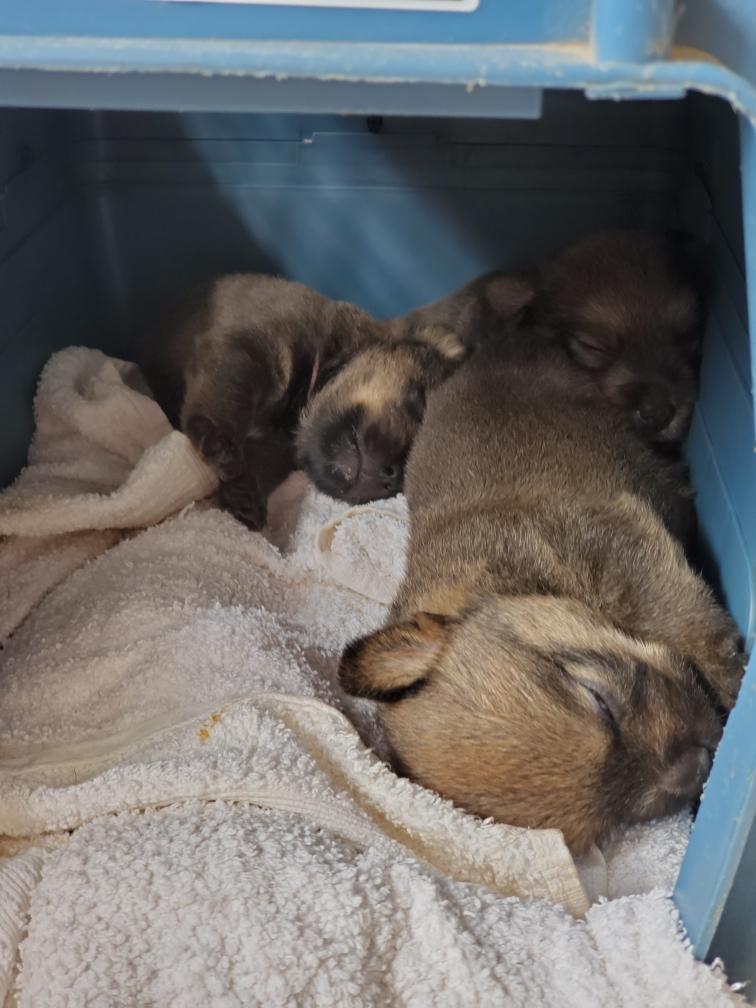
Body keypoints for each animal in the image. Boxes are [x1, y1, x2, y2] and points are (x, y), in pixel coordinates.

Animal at [338, 340, 743, 853]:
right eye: (614, 820)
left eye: (598, 699)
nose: (697, 767)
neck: (509, 581)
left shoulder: (626, 554)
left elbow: (695, 628)